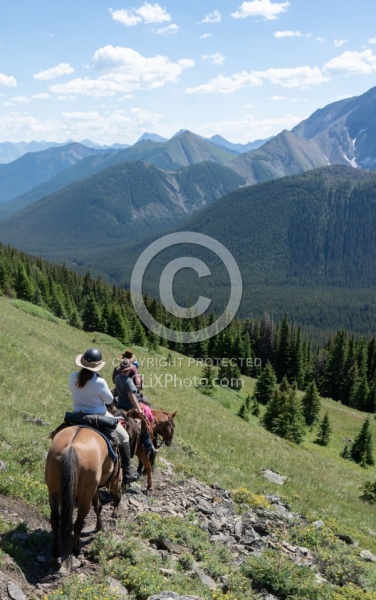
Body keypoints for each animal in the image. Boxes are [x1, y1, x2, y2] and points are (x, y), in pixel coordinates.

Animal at [45, 426, 122, 572]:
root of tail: (71, 446)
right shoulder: (114, 480)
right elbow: (111, 500)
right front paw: (110, 519)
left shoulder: (95, 489)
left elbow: (98, 506)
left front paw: (100, 526)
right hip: (85, 498)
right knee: (78, 523)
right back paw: (76, 549)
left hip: (54, 491)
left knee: (55, 519)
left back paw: (55, 549)